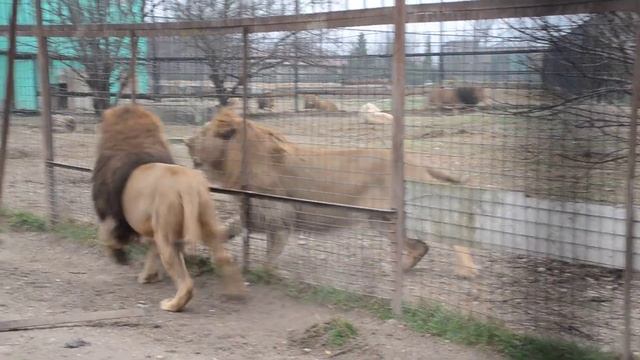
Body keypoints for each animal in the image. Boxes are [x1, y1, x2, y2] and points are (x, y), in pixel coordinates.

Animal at [91, 104, 246, 312]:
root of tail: (187, 186)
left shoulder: (112, 214)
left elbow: (106, 235)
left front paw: (119, 256)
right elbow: (150, 251)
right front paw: (148, 276)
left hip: (167, 234)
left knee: (186, 282)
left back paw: (171, 305)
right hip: (205, 220)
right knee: (224, 257)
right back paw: (237, 293)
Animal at [185, 106, 476, 276]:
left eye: (203, 132)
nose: (186, 141)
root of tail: (417, 162)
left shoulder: (280, 216)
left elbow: (271, 253)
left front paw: (268, 272)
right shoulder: (254, 212)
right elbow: (223, 230)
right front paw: (192, 249)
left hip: (400, 216)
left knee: (446, 237)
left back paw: (463, 269)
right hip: (381, 220)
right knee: (421, 246)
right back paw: (400, 268)